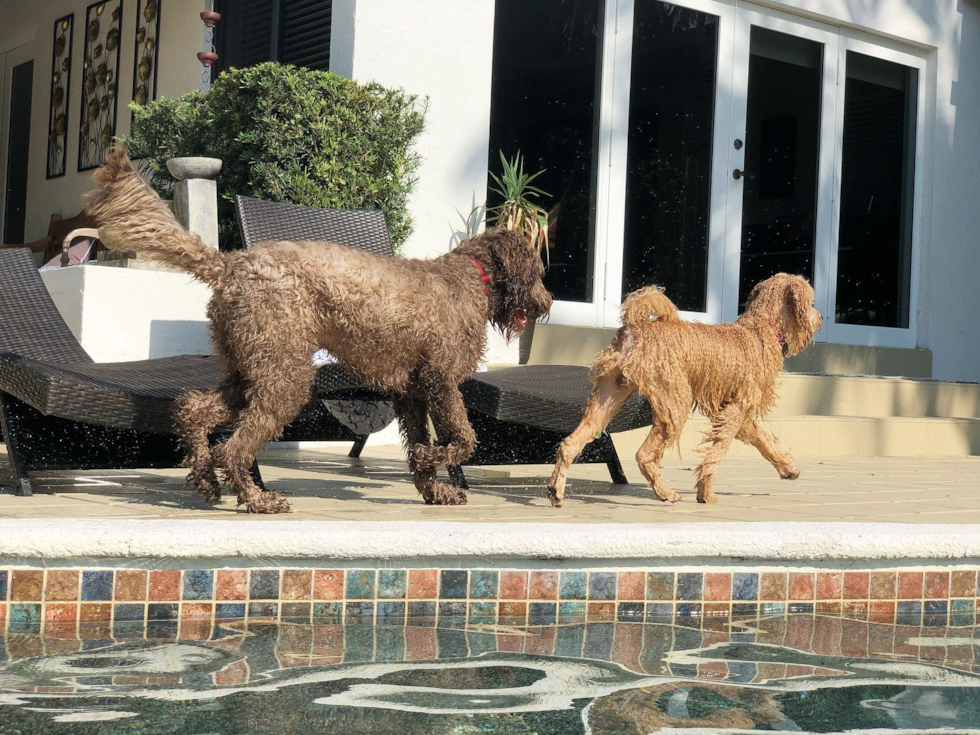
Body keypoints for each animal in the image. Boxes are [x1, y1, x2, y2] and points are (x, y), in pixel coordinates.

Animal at [87, 147, 552, 516]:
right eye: (538, 272)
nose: (546, 304)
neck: (471, 277)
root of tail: (230, 264)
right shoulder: (440, 382)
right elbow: (466, 438)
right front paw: (434, 461)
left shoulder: (412, 393)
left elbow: (423, 447)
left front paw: (433, 485)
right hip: (285, 374)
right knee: (233, 447)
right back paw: (256, 499)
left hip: (248, 369)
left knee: (193, 410)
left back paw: (206, 481)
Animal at [548, 274, 824, 508]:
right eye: (811, 301)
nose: (821, 318)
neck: (761, 328)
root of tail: (635, 327)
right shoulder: (736, 410)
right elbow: (717, 454)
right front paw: (706, 494)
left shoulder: (737, 412)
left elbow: (763, 440)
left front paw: (788, 468)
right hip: (675, 403)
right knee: (644, 455)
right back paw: (666, 493)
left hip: (606, 400)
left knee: (570, 444)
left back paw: (556, 492)